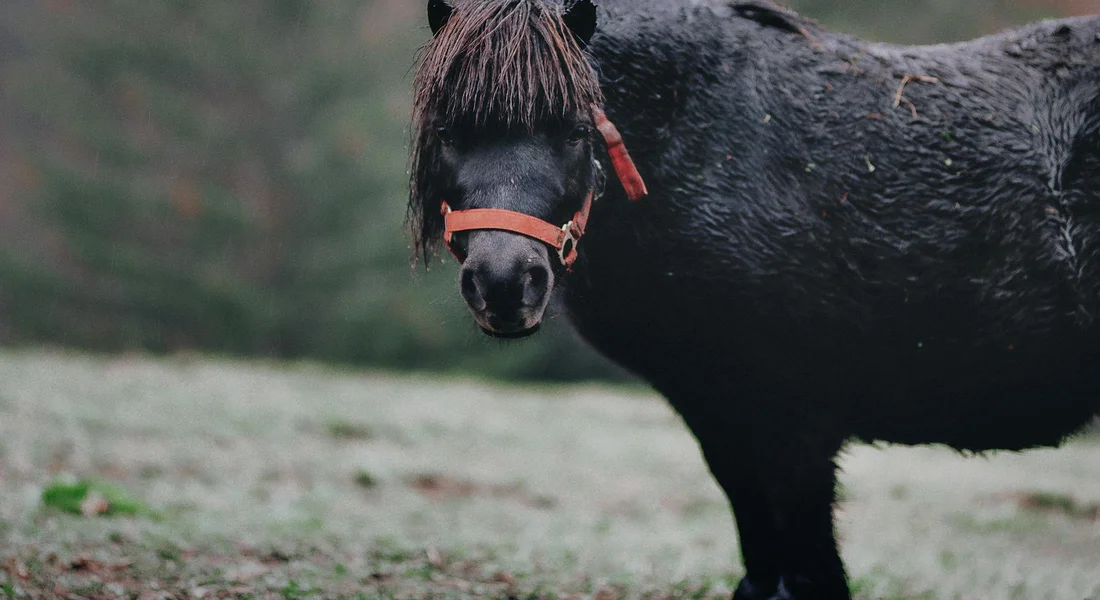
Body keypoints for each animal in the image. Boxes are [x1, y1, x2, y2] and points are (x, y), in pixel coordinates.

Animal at [408, 0, 1100, 598]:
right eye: (448, 132)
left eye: (577, 132)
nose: (504, 283)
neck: (710, 143)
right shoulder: (721, 412)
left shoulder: (798, 422)